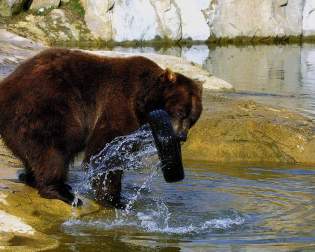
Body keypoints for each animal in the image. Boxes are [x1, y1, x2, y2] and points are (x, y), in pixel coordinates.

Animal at [0, 48, 204, 207]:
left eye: (193, 119)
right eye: (180, 111)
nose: (181, 136)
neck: (142, 101)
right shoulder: (119, 101)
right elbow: (107, 148)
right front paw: (114, 199)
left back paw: (32, 178)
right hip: (47, 106)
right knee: (54, 148)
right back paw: (62, 192)